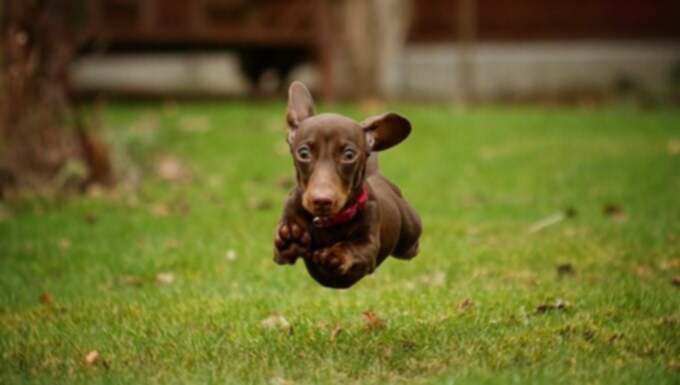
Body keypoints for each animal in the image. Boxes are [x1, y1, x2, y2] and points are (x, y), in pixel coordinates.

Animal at [270, 83, 420, 288]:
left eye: (349, 155)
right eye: (303, 153)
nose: (321, 200)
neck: (328, 221)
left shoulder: (368, 251)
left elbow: (355, 249)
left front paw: (335, 254)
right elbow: (283, 248)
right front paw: (292, 237)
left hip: (409, 234)